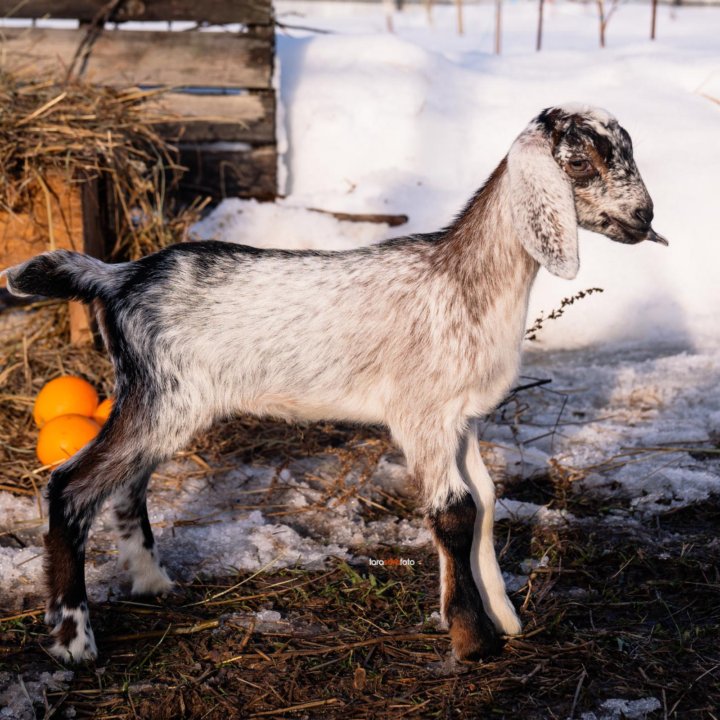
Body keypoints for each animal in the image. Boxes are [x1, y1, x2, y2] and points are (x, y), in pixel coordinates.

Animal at [0, 102, 668, 664]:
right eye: (579, 161)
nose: (644, 217)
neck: (462, 280)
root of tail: (119, 276)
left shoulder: (461, 419)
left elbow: (482, 502)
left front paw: (502, 618)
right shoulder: (421, 413)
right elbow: (452, 512)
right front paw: (472, 640)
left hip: (162, 404)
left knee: (127, 483)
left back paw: (151, 581)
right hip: (161, 398)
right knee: (70, 486)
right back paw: (73, 640)